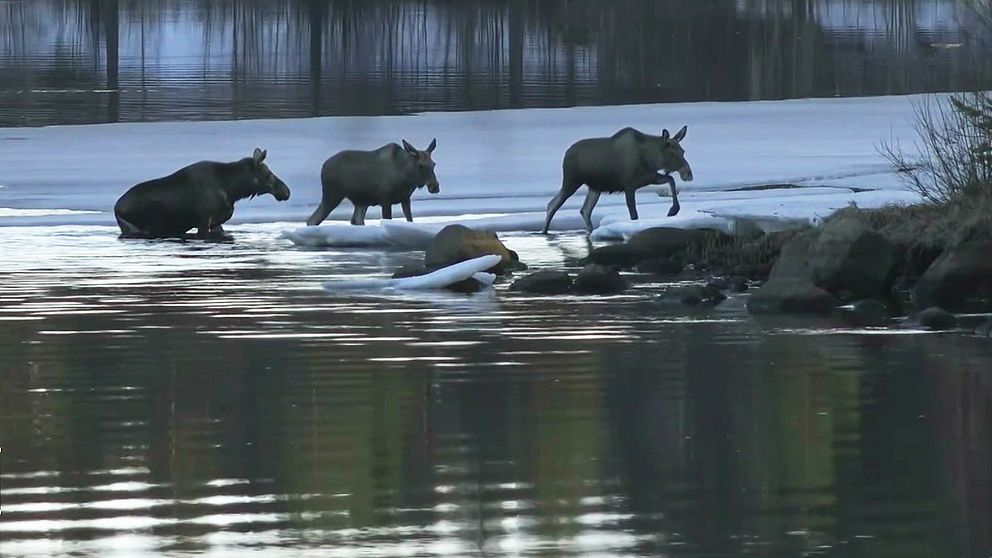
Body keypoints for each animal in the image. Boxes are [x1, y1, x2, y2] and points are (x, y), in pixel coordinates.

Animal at [114, 148, 290, 240]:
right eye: (268, 173)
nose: (286, 191)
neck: (234, 189)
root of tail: (116, 208)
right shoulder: (205, 219)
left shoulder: (217, 221)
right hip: (137, 228)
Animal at [306, 139, 438, 226]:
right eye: (421, 165)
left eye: (434, 164)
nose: (435, 187)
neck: (408, 178)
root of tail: (323, 167)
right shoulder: (385, 199)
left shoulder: (405, 198)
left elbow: (410, 220)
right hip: (333, 195)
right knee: (312, 220)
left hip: (359, 202)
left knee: (356, 221)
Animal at [540, 126, 692, 234]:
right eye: (672, 153)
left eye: (683, 151)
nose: (688, 174)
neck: (651, 160)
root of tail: (566, 153)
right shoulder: (629, 185)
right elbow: (633, 212)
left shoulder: (648, 178)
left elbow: (671, 179)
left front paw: (673, 210)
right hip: (571, 181)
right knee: (553, 204)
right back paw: (545, 231)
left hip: (594, 188)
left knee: (585, 210)